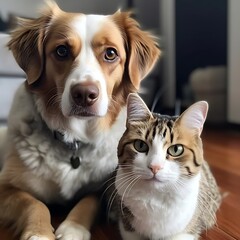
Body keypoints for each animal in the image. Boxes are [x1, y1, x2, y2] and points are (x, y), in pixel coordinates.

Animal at [0, 0, 159, 239]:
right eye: (61, 51)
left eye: (110, 53)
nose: (84, 94)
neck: (74, 138)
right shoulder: (5, 186)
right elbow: (34, 204)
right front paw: (39, 233)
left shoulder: (106, 187)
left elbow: (88, 202)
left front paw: (73, 228)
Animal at [110, 93, 221, 240]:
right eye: (140, 145)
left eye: (176, 149)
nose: (155, 167)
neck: (155, 197)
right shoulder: (128, 229)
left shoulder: (186, 231)